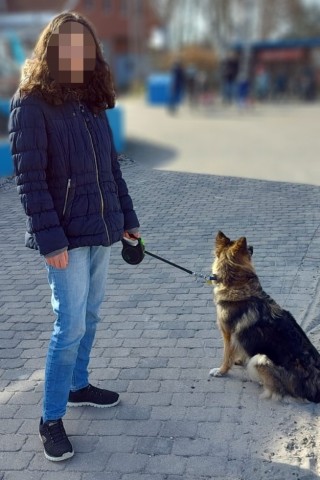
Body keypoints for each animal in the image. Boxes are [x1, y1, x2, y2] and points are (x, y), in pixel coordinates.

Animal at [209, 231, 320, 404]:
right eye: (249, 250)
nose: (253, 246)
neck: (237, 285)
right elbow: (238, 350)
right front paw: (239, 360)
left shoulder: (227, 334)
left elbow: (227, 356)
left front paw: (221, 370)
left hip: (260, 358)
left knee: (279, 392)